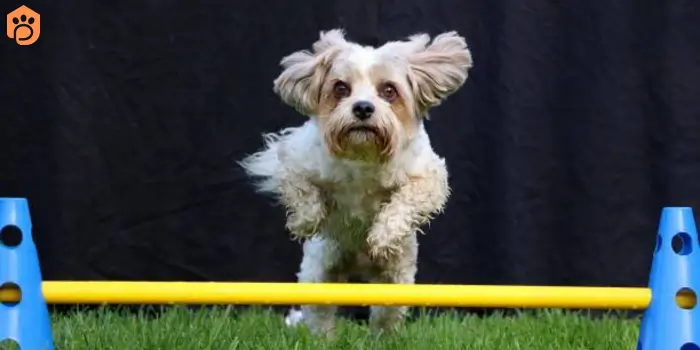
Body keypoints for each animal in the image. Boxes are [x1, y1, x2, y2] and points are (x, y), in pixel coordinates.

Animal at [238, 29, 474, 336]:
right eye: (340, 88)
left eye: (388, 90)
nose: (362, 107)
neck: (363, 156)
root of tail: (358, 269)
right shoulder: (296, 160)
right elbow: (301, 190)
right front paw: (305, 221)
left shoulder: (428, 177)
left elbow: (406, 200)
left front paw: (384, 235)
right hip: (318, 277)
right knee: (319, 316)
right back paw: (323, 338)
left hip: (396, 283)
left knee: (385, 318)